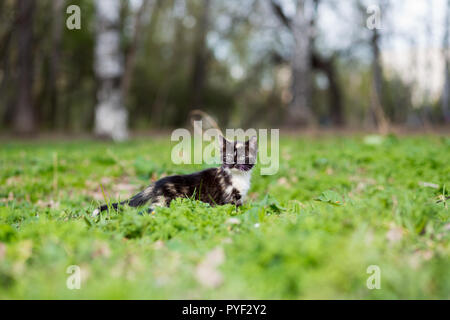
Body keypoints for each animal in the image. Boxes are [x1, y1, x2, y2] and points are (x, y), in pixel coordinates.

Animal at [92, 135, 256, 215]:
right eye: (227, 156)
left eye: (242, 156)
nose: (233, 164)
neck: (238, 177)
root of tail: (156, 184)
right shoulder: (228, 197)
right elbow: (233, 208)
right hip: (165, 200)